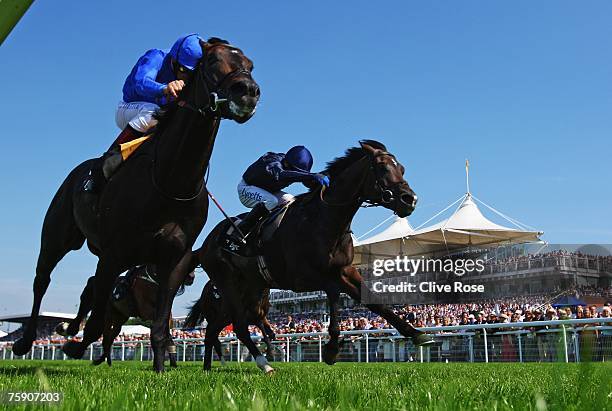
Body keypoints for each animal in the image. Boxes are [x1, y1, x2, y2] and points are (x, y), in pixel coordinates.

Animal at [13, 38, 260, 374]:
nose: (247, 90)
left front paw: (160, 369)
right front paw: (75, 345)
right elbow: (98, 322)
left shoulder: (174, 259)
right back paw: (26, 341)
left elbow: (160, 326)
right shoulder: (114, 253)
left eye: (250, 64)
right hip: (56, 237)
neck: (170, 180)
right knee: (42, 281)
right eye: (211, 61)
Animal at [197, 141, 436, 374]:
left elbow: (374, 301)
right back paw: (264, 363)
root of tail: (205, 244)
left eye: (402, 169)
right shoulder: (303, 278)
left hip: (249, 288)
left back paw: (209, 367)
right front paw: (331, 348)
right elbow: (333, 294)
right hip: (227, 283)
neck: (325, 220)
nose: (410, 200)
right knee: (238, 326)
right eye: (383, 167)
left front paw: (417, 333)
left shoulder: (345, 270)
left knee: (215, 329)